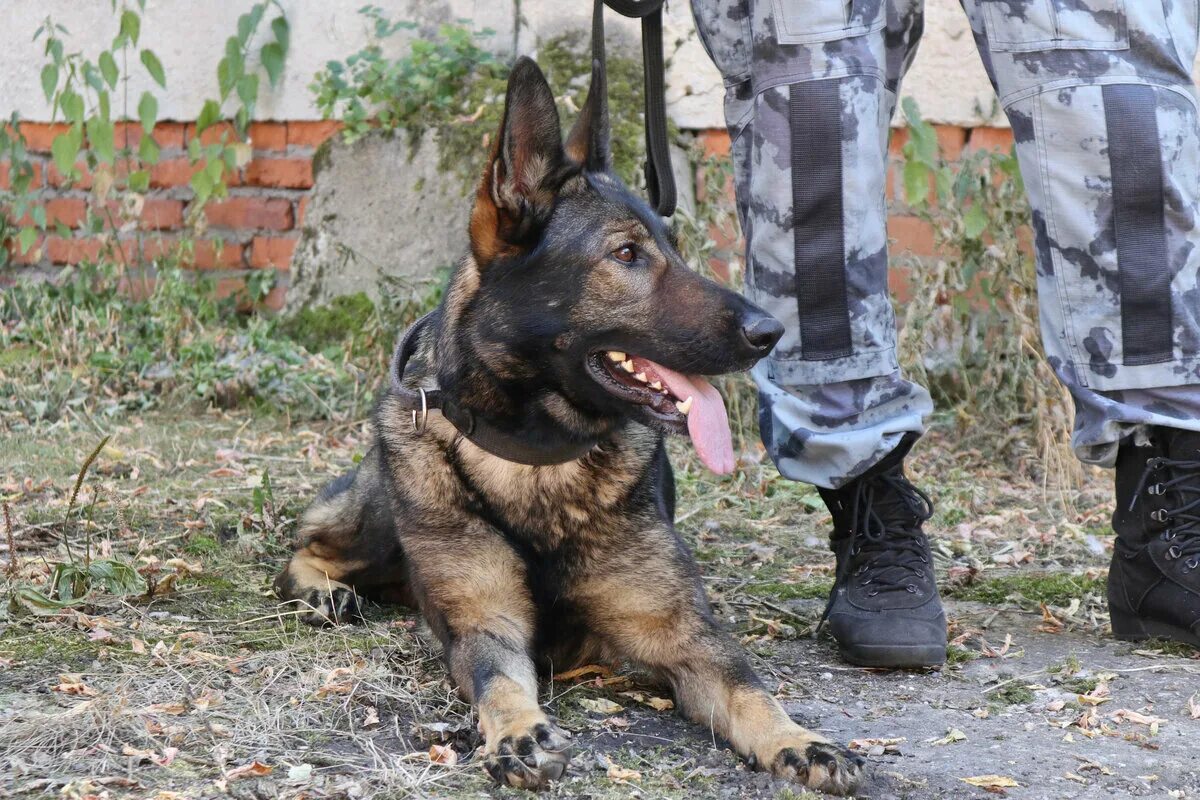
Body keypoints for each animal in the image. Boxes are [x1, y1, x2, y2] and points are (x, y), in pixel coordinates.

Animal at [274, 57, 864, 796]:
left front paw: (798, 738)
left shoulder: (684, 634)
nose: (771, 332)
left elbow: (748, 688)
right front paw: (521, 734)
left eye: (672, 248)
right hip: (381, 512)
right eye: (627, 255)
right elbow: (501, 683)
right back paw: (323, 593)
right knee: (307, 543)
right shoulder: (485, 622)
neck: (537, 457)